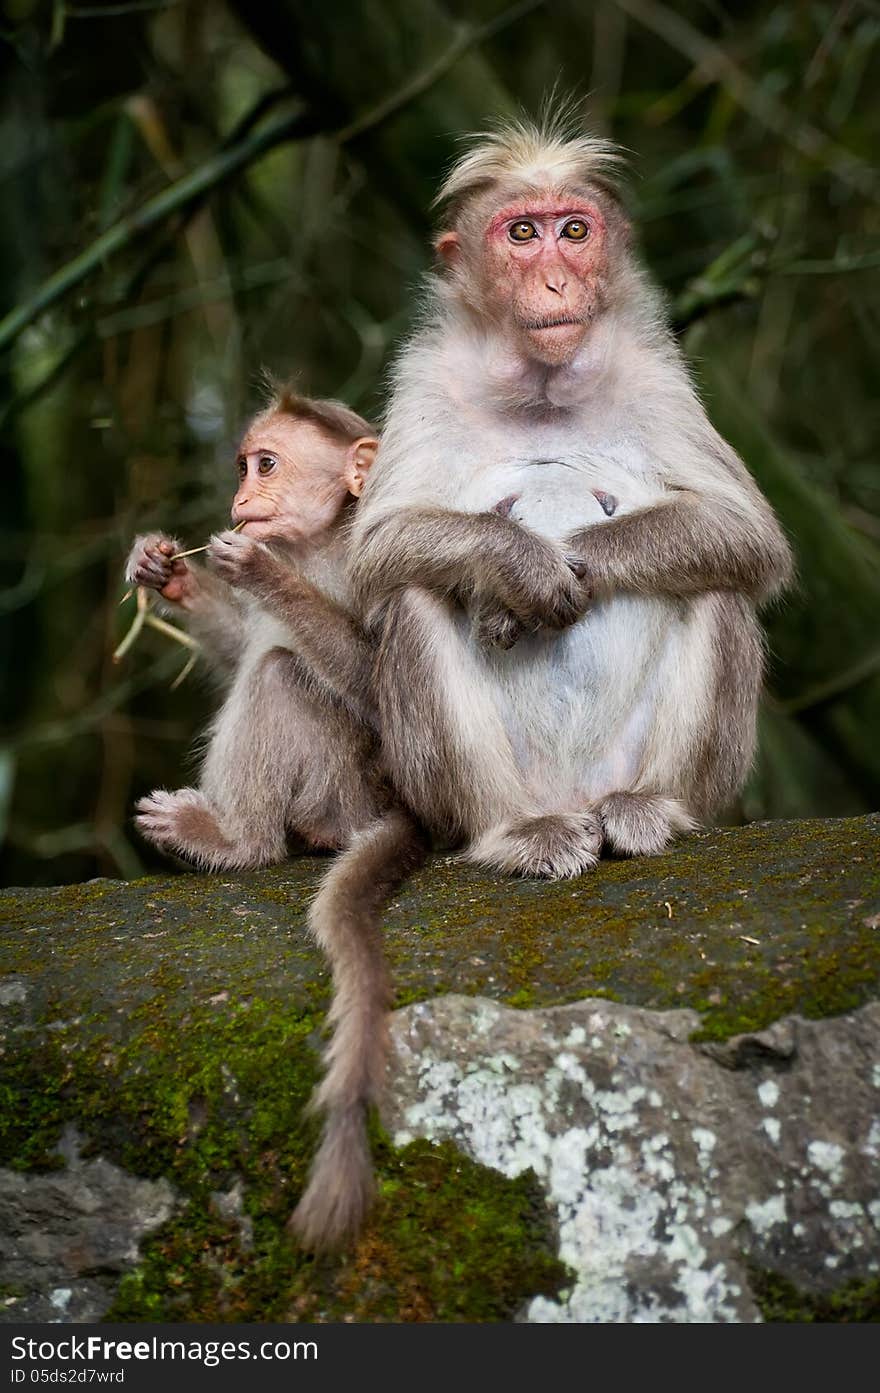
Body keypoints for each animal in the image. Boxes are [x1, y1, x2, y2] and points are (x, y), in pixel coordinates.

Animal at [346, 114, 796, 874]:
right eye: (524, 233)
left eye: (575, 231)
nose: (557, 280)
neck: (543, 388)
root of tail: (574, 794)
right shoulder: (427, 378)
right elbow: (378, 549)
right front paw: (519, 571)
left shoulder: (654, 375)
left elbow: (744, 530)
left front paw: (566, 568)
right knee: (414, 596)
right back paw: (514, 829)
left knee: (718, 582)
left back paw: (652, 807)